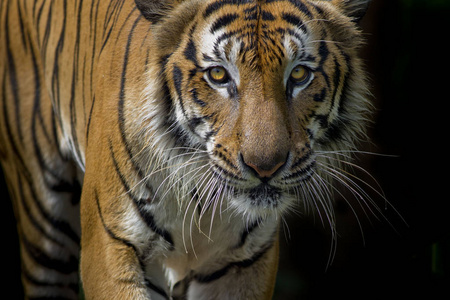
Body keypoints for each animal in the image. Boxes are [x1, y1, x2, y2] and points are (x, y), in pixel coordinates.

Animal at [0, 0, 372, 298]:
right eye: (219, 75)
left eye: (298, 75)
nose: (265, 167)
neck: (199, 202)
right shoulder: (111, 247)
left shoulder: (245, 261)